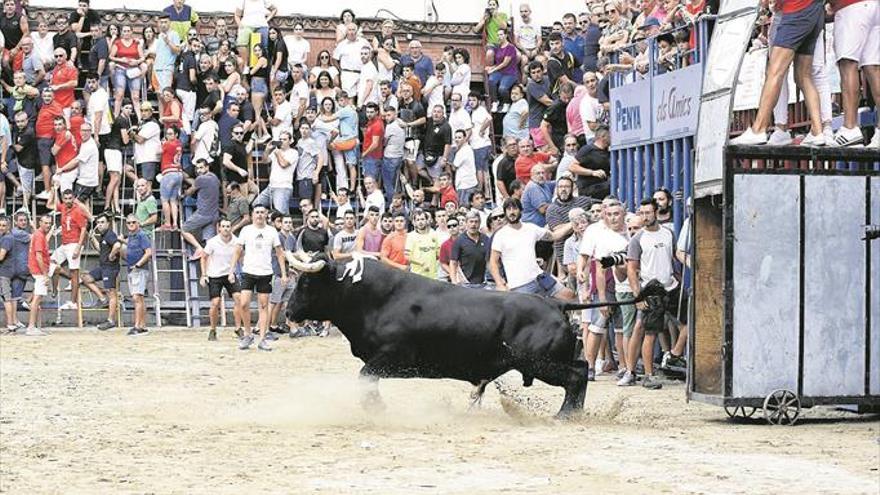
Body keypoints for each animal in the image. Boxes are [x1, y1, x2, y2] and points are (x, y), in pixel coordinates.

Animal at [286, 256, 664, 418]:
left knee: (576, 375)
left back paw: (564, 415)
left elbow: (365, 377)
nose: (288, 312)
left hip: (539, 362)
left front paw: (375, 408)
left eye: (305, 282)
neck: (372, 296)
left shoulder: (392, 357)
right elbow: (367, 379)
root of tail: (555, 303)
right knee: (582, 368)